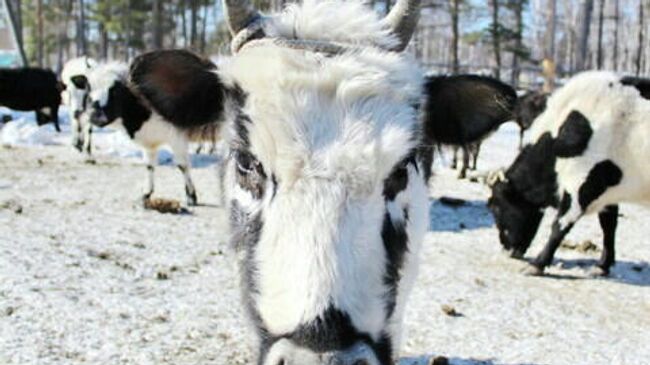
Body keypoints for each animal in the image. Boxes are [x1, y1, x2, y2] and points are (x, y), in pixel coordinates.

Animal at [86, 56, 223, 205]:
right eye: (89, 89)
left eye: (115, 91)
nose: (95, 116)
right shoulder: (149, 143)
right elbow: (149, 166)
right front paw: (147, 194)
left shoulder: (177, 137)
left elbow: (182, 165)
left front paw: (191, 196)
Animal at [488, 70, 648, 276]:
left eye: (496, 207)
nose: (506, 249)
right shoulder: (606, 192)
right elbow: (608, 226)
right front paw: (602, 266)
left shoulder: (581, 184)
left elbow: (560, 225)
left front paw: (537, 264)